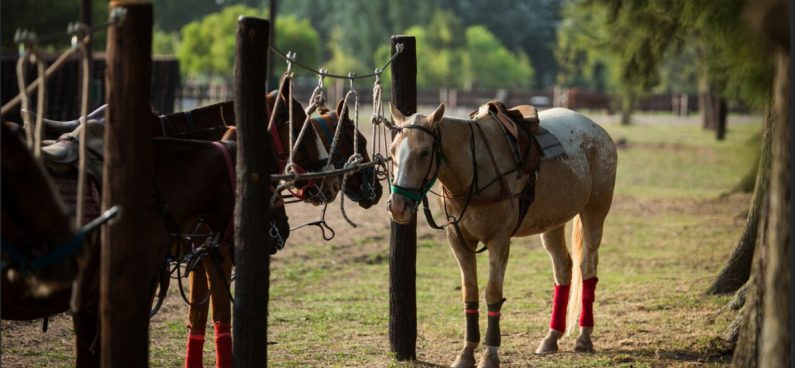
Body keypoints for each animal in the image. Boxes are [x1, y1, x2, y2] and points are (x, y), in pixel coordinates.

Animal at [388, 104, 620, 368]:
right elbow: (470, 292)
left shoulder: (498, 241)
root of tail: (597, 130)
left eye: (425, 152)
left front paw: (490, 354)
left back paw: (584, 337)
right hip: (553, 222)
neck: (475, 168)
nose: (398, 206)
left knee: (588, 267)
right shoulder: (459, 241)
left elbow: (492, 293)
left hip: (595, 210)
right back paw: (551, 337)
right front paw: (466, 353)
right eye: (392, 150)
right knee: (563, 269)